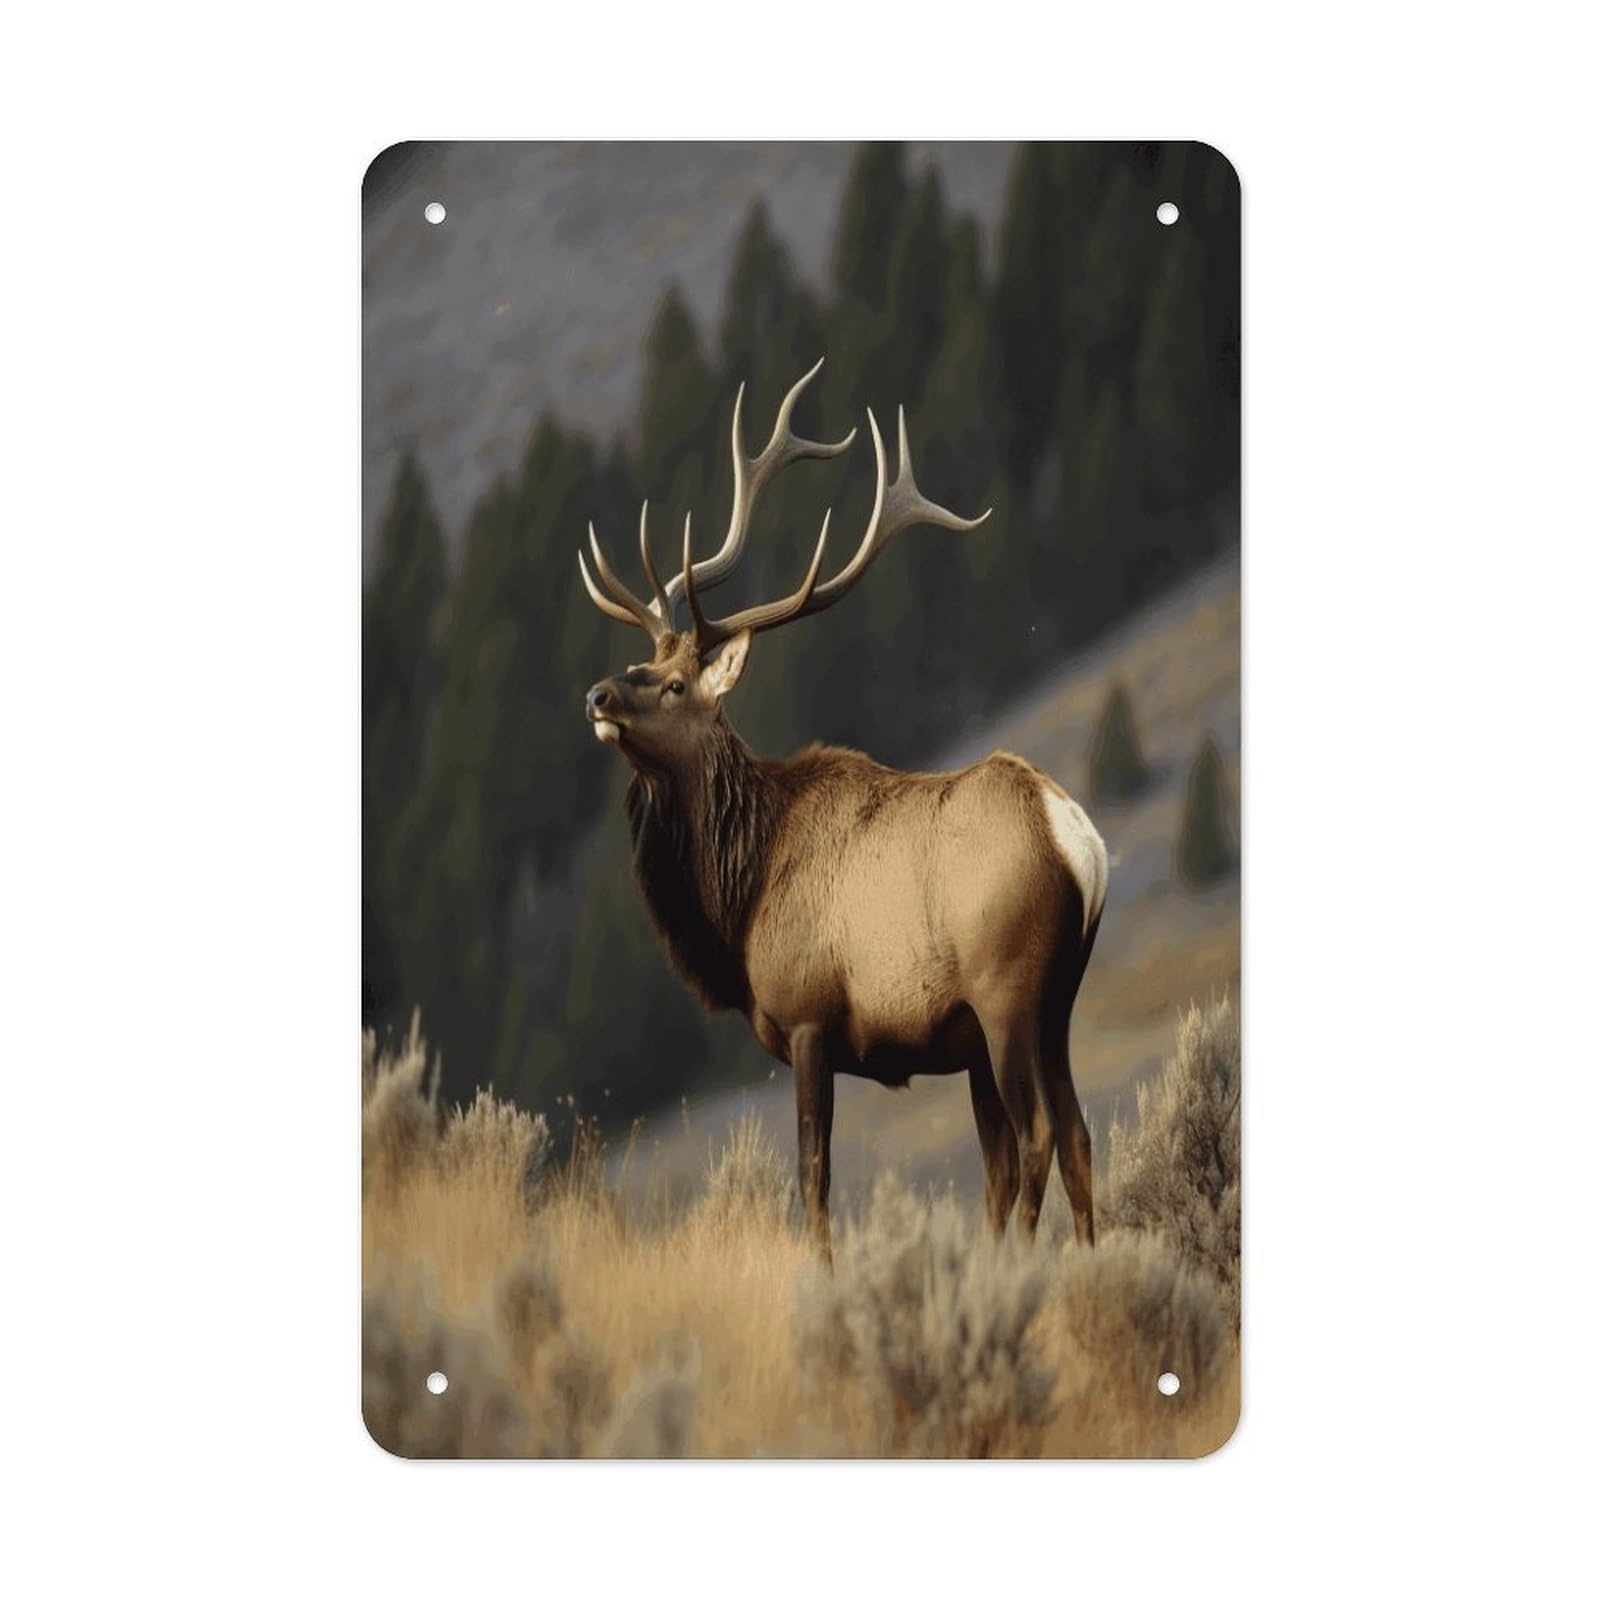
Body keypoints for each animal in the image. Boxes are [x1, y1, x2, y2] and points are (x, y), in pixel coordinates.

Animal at [579, 361, 1108, 1257]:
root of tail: (1077, 837)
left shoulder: (809, 1022)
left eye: (677, 684)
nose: (598, 695)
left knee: (1039, 1135)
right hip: (1058, 1000)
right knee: (1074, 1135)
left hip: (1007, 990)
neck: (737, 897)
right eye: (640, 661)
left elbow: (814, 1177)